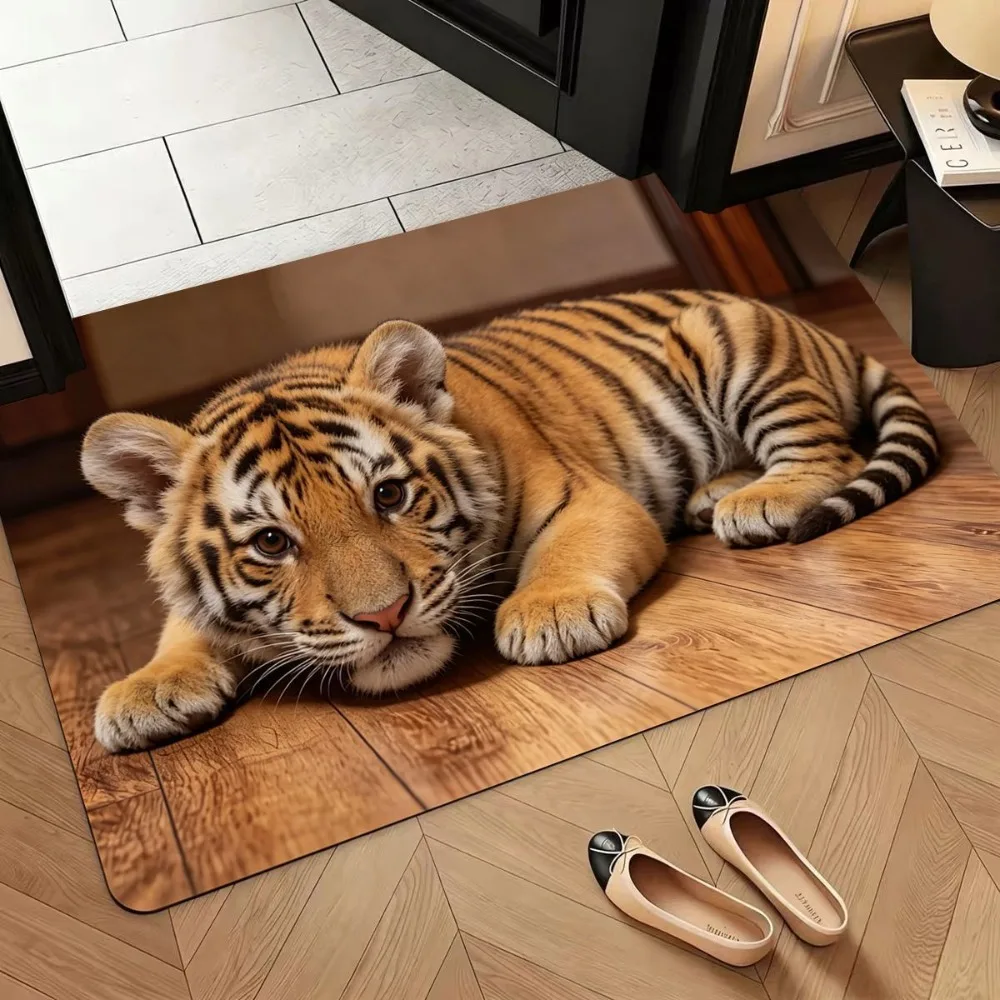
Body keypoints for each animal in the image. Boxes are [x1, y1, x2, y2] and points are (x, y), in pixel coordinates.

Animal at [81, 290, 938, 752]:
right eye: (270, 543)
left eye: (388, 497)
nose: (384, 615)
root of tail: (813, 330)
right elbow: (181, 628)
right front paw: (144, 692)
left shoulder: (586, 499)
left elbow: (563, 556)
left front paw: (551, 614)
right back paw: (713, 494)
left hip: (732, 350)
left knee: (825, 451)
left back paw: (759, 501)